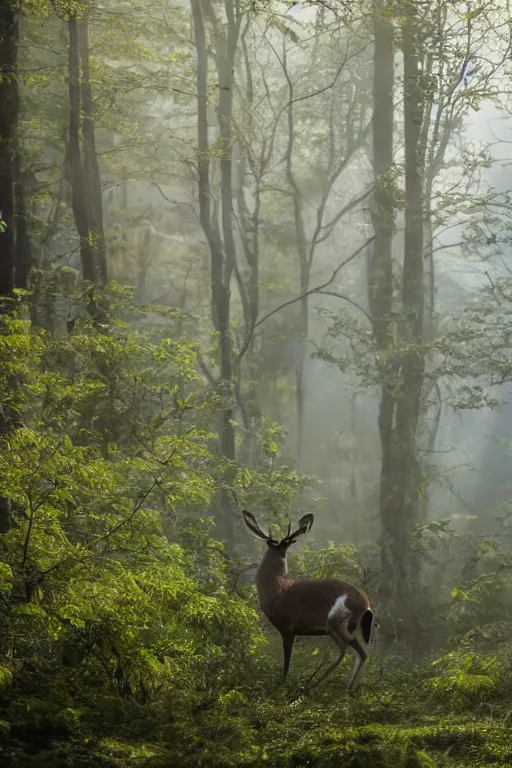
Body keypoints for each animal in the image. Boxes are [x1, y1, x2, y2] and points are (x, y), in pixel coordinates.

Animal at [242, 512, 374, 692]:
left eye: (285, 548)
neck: (276, 592)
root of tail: (365, 602)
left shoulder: (288, 627)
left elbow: (286, 664)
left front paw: (282, 685)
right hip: (344, 628)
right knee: (357, 652)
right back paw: (343, 688)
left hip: (336, 621)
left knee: (352, 650)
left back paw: (321, 685)